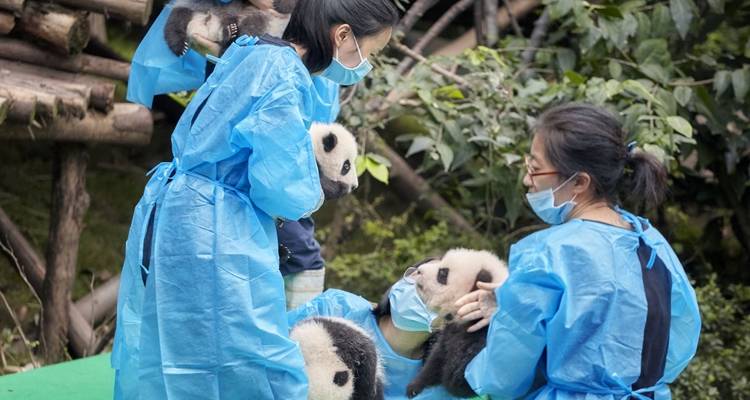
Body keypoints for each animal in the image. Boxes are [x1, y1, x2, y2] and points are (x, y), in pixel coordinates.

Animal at [372, 248, 509, 398]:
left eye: (443, 273)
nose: (419, 270)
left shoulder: (484, 337)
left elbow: (458, 378)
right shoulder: (449, 332)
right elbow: (437, 358)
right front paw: (414, 387)